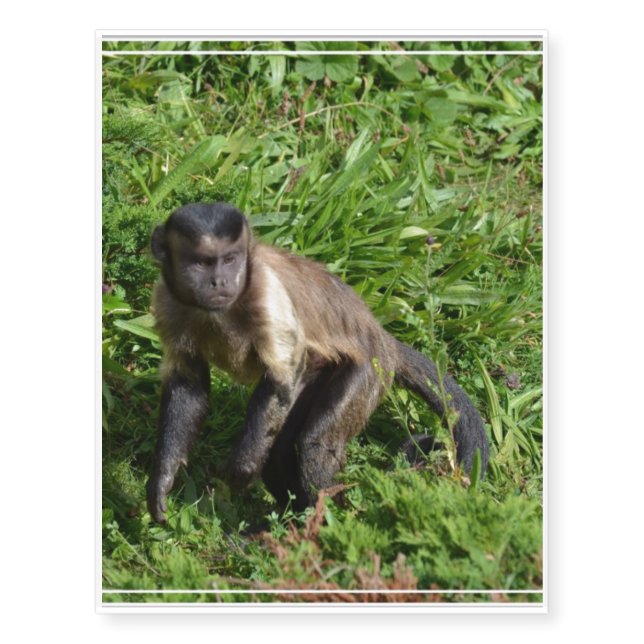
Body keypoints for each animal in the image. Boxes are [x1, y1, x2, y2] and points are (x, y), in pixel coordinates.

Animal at [146, 202, 489, 523]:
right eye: (202, 263)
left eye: (230, 259)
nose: (220, 281)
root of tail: (383, 339)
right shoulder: (167, 301)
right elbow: (188, 386)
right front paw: (162, 479)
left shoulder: (266, 291)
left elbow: (280, 379)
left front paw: (240, 470)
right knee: (282, 450)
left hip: (370, 372)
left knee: (314, 442)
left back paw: (323, 523)